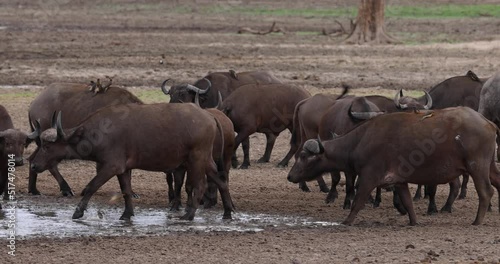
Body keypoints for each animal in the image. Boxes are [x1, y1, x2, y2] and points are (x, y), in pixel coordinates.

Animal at [30, 103, 233, 221]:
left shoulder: (111, 166)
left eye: (47, 146)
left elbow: (91, 187)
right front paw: (127, 214)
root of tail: (209, 116)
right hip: (206, 160)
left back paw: (189, 215)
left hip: (196, 159)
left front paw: (78, 212)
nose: (33, 165)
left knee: (200, 186)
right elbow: (126, 190)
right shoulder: (123, 169)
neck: (98, 133)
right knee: (222, 182)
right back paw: (228, 212)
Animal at [290, 106, 500, 226]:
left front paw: (346, 221)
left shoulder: (369, 177)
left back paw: (477, 221)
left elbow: (358, 200)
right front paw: (413, 222)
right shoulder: (400, 182)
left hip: (477, 167)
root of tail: (487, 122)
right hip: (490, 167)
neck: (360, 140)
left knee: (486, 192)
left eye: (303, 156)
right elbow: (407, 202)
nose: (290, 176)